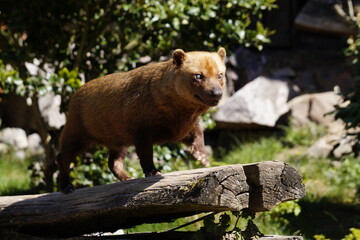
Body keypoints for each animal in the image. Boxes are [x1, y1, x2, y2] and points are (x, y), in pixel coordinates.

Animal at [56, 48, 225, 193]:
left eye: (220, 74)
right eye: (198, 75)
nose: (216, 93)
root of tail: (74, 95)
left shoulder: (182, 127)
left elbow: (198, 134)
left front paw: (202, 156)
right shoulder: (141, 128)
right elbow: (145, 153)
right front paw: (154, 171)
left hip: (117, 138)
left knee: (113, 161)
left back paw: (127, 177)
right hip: (76, 130)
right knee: (63, 157)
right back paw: (67, 187)